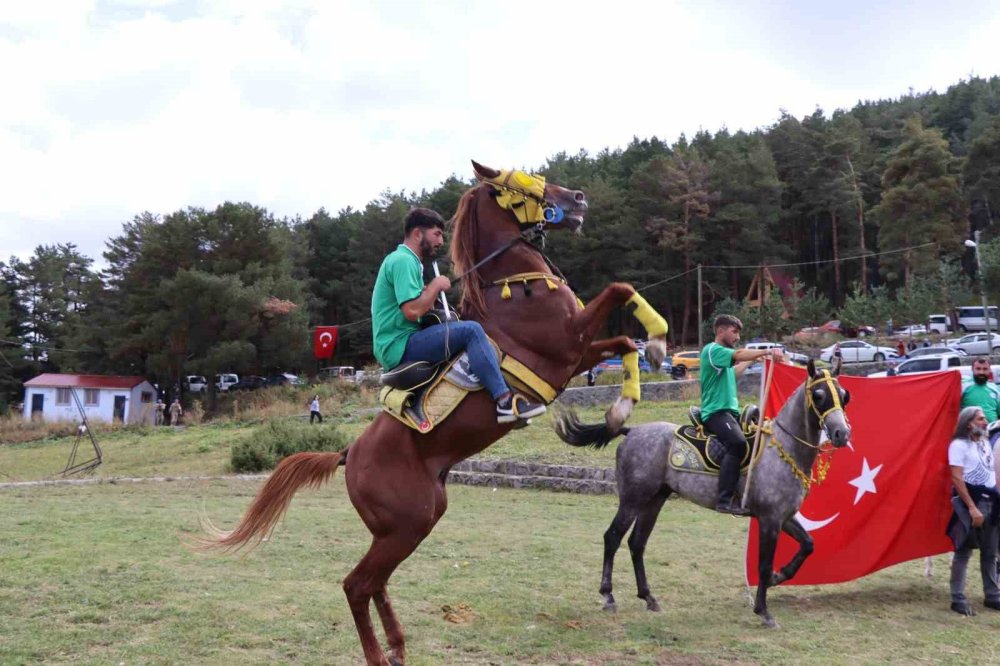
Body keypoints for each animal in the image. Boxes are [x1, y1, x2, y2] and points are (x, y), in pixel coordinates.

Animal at [200, 162, 668, 664]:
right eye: (523, 180)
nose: (579, 198)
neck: (512, 286)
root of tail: (348, 454)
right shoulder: (566, 345)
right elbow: (621, 291)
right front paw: (659, 340)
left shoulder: (577, 357)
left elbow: (624, 343)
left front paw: (623, 404)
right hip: (407, 525)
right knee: (356, 585)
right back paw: (379, 654)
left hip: (409, 525)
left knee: (375, 583)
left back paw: (398, 646)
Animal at [556, 360, 852, 624]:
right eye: (819, 395)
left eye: (844, 396)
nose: (842, 433)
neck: (781, 450)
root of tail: (631, 431)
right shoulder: (769, 519)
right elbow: (764, 565)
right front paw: (763, 611)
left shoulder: (784, 517)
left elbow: (807, 545)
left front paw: (780, 576)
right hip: (632, 499)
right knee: (613, 537)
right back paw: (608, 596)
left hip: (654, 500)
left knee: (637, 543)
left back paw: (648, 597)